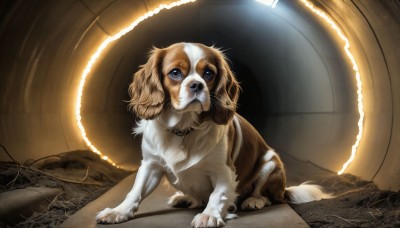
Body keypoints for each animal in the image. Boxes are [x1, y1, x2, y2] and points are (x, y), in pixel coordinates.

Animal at [97, 42, 332, 226]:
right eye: (175, 73)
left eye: (208, 73)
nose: (196, 85)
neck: (184, 129)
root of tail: (283, 189)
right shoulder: (151, 165)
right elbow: (135, 191)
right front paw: (118, 212)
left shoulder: (224, 171)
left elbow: (218, 195)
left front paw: (209, 216)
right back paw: (184, 197)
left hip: (271, 163)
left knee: (270, 196)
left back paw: (253, 201)